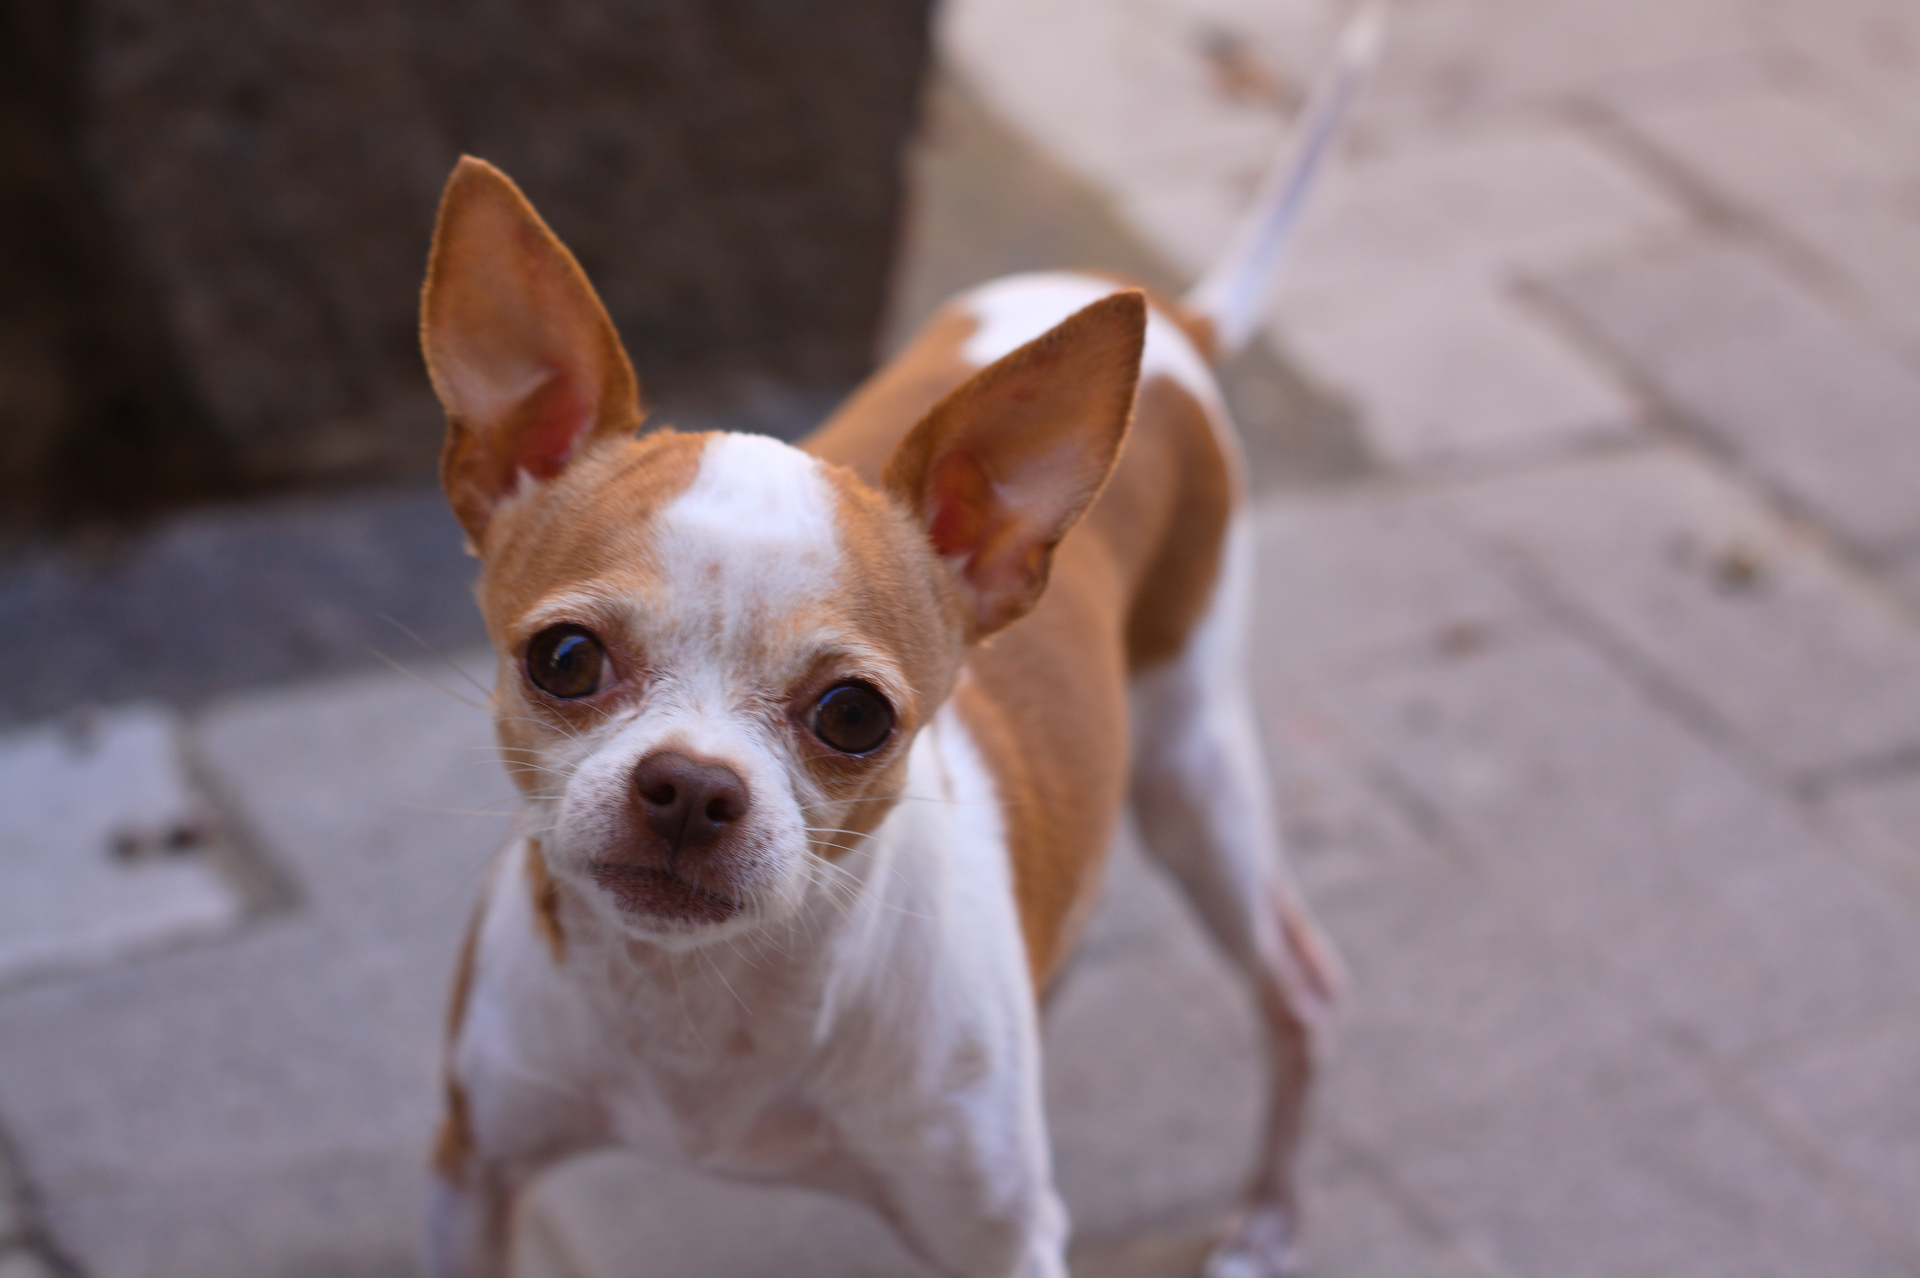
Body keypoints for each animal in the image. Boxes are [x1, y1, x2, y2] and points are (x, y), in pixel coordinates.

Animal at [422, 14, 1382, 1266]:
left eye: (855, 716)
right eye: (566, 659)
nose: (690, 786)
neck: (703, 1018)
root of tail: (1171, 319)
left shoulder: (1008, 1241)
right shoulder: (471, 1171)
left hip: (1194, 776)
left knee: (1299, 986)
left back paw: (1269, 1217)